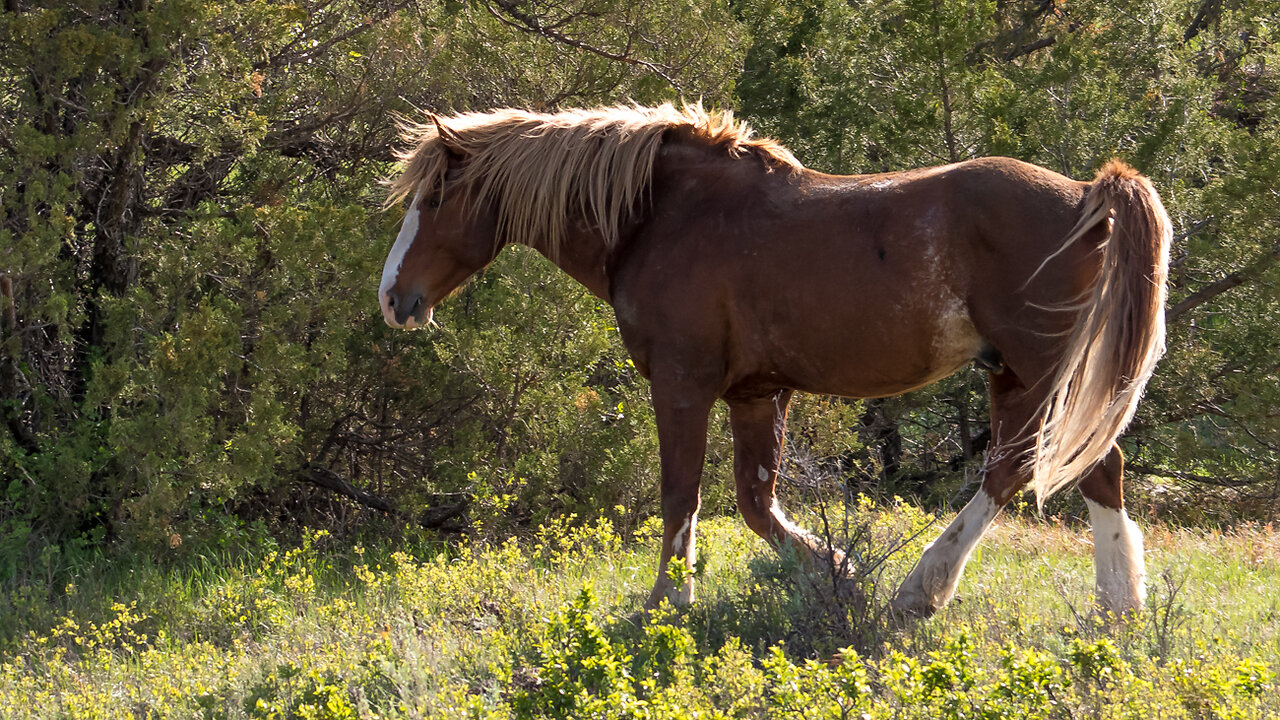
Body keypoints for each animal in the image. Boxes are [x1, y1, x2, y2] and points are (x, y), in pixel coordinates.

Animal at [378, 102, 1172, 617]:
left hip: (1041, 369)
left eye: (437, 198)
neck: (662, 216)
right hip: (1010, 374)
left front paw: (669, 601)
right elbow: (756, 505)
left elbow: (682, 495)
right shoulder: (757, 394)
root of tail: (1087, 197)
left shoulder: (683, 384)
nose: (393, 297)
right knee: (1040, 471)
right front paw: (833, 572)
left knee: (1067, 470)